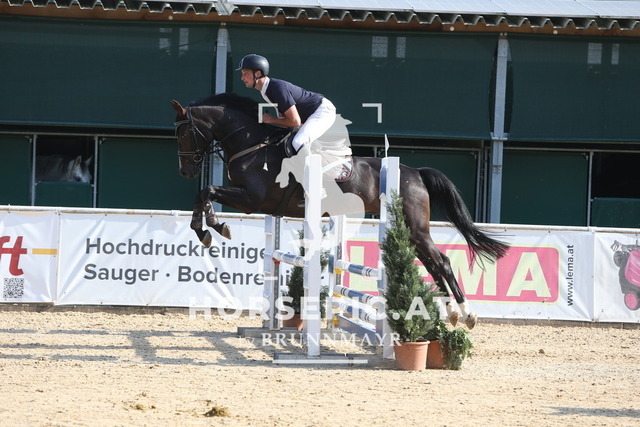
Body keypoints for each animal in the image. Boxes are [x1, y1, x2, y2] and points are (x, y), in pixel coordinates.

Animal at [171, 93, 509, 328]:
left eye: (183, 133)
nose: (185, 171)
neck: (252, 144)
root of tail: (415, 172)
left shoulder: (255, 200)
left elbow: (206, 191)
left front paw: (213, 228)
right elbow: (204, 195)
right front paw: (207, 229)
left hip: (415, 227)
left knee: (442, 262)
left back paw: (467, 313)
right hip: (411, 230)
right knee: (433, 263)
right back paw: (452, 313)